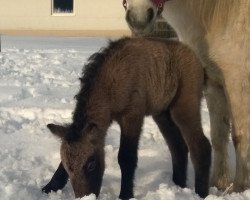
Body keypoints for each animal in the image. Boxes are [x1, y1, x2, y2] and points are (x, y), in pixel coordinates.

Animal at [42, 37, 211, 198]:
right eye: (68, 167)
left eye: (91, 164)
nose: (85, 197)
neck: (110, 86)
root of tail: (199, 63)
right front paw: (50, 187)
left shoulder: (132, 114)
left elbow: (126, 157)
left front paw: (126, 194)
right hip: (162, 113)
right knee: (178, 147)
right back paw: (179, 186)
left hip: (184, 104)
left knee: (201, 145)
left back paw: (201, 192)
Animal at [123, 0, 250, 193]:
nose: (139, 19)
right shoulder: (214, 81)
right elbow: (218, 136)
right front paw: (217, 184)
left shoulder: (238, 81)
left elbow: (240, 137)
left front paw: (239, 188)